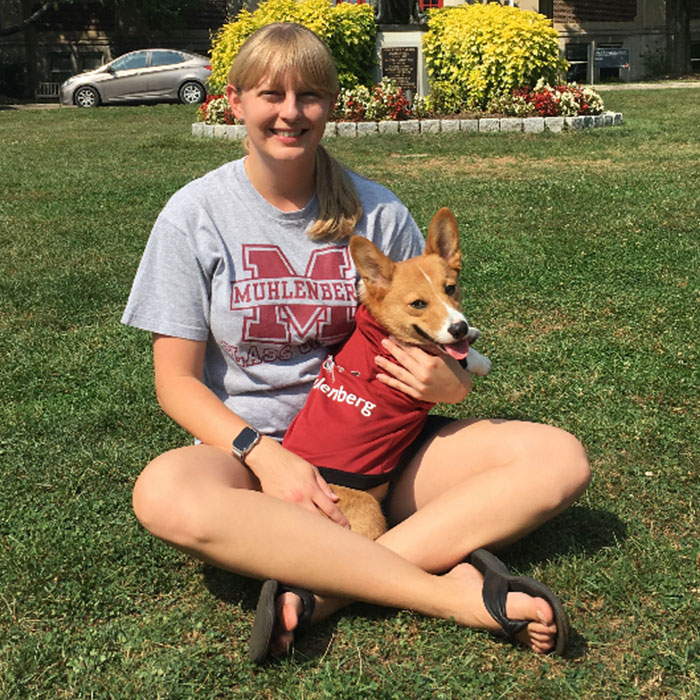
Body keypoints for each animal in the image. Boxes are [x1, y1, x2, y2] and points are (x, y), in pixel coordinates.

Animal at [282, 206, 490, 536]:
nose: (459, 328)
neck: (379, 329)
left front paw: (471, 335)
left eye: (451, 288)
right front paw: (478, 359)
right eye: (418, 304)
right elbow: (453, 357)